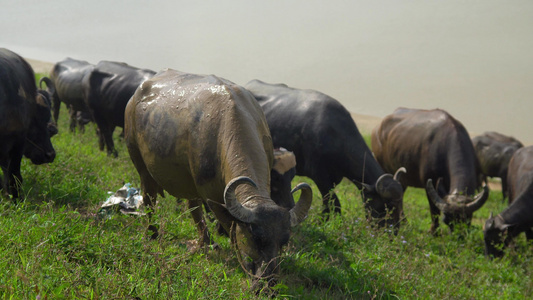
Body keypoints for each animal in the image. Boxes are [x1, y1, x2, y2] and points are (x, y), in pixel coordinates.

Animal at [125, 69, 312, 286]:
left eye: (284, 241)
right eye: (256, 238)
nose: (268, 282)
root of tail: (134, 98)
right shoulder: (213, 198)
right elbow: (231, 230)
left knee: (193, 206)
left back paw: (206, 243)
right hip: (140, 164)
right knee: (149, 199)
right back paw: (153, 234)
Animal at [245, 79, 404, 230]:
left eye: (401, 203)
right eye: (387, 204)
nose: (394, 230)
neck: (334, 135)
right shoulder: (320, 177)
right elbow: (332, 203)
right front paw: (324, 222)